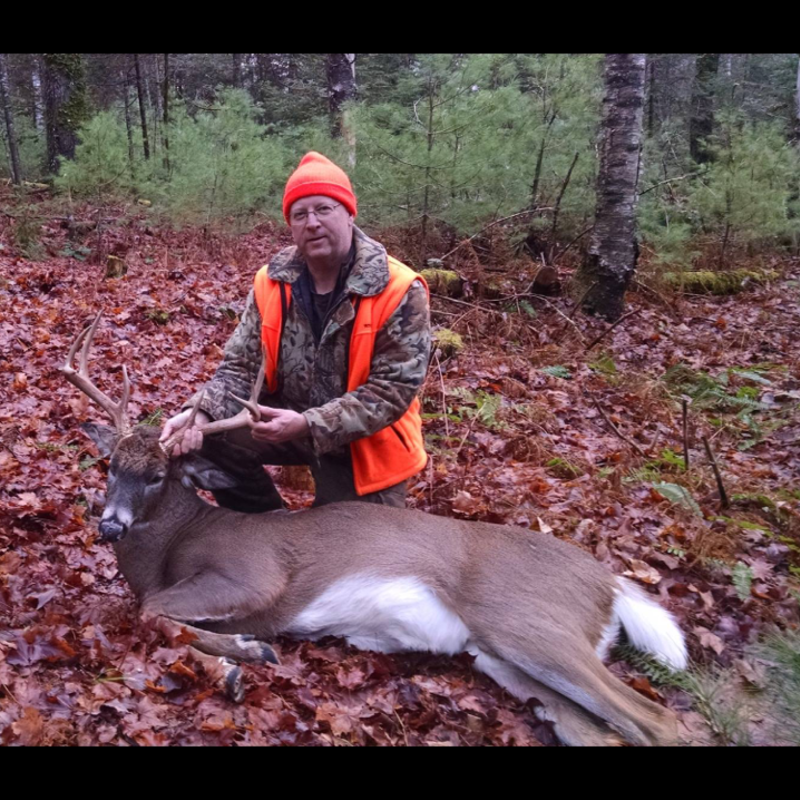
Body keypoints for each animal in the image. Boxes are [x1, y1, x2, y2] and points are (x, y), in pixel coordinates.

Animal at [61, 314, 688, 746]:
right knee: (603, 732)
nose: (110, 526)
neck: (171, 547)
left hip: (529, 623)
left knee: (662, 723)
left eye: (157, 476)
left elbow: (155, 614)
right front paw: (235, 659)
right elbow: (159, 616)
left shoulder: (253, 575)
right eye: (110, 466)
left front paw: (243, 657)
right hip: (499, 657)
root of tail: (611, 583)